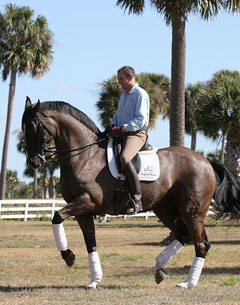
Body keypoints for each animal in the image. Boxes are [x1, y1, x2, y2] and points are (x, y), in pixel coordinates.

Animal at [22, 97, 238, 288]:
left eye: (34, 127)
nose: (34, 162)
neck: (84, 156)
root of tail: (205, 161)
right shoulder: (83, 211)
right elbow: (90, 243)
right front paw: (94, 280)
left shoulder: (88, 201)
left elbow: (57, 216)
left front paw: (68, 256)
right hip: (166, 209)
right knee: (184, 235)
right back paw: (160, 269)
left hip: (192, 211)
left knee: (201, 244)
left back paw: (187, 283)